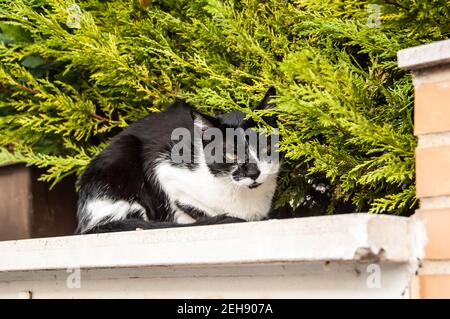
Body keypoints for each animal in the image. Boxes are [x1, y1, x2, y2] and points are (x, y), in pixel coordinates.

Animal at [76, 86, 280, 234]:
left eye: (265, 147)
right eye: (231, 154)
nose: (253, 172)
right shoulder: (163, 166)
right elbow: (186, 206)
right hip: (121, 155)